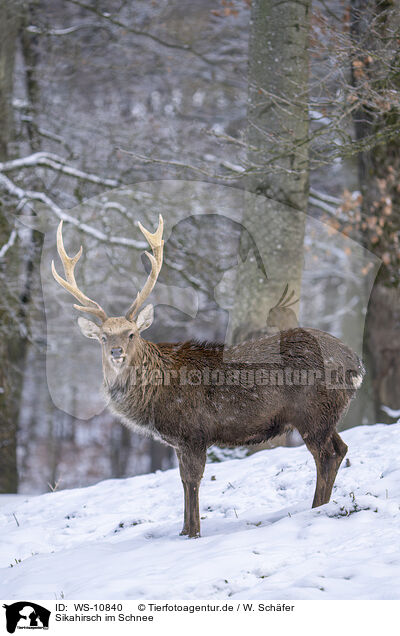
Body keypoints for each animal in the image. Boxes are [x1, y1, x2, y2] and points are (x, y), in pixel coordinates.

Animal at [52, 217, 366, 536]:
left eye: (132, 333)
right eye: (103, 337)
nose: (116, 351)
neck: (156, 395)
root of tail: (356, 364)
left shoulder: (193, 432)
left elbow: (193, 481)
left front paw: (193, 532)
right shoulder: (178, 442)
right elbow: (181, 481)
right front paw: (182, 530)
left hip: (313, 412)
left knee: (325, 455)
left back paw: (317, 509)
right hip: (325, 415)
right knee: (340, 449)